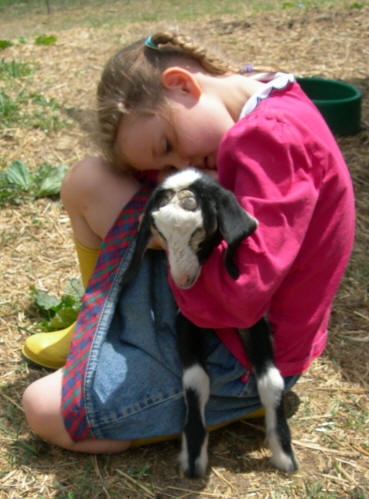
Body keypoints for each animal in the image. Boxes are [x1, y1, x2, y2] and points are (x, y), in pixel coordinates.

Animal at [119, 170, 298, 478]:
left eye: (200, 236)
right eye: (160, 234)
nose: (182, 282)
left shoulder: (252, 316)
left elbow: (272, 380)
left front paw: (283, 452)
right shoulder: (186, 319)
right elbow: (195, 381)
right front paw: (194, 455)